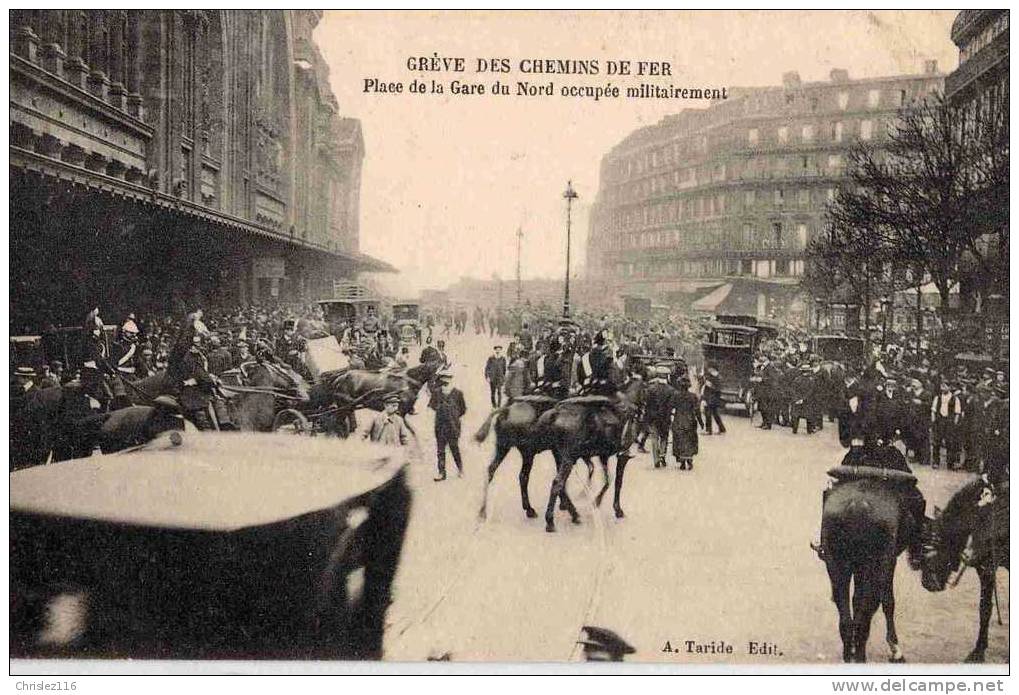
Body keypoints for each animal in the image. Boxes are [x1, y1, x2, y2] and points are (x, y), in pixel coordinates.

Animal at [538, 379, 639, 529]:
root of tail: (555, 413)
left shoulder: (603, 456)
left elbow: (607, 479)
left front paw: (597, 500)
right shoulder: (623, 456)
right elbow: (617, 482)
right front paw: (617, 509)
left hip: (559, 456)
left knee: (562, 485)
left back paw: (573, 513)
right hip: (568, 458)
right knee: (558, 482)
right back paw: (551, 521)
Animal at [819, 464, 925, 660]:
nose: (916, 558)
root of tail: (858, 504)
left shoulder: (858, 567)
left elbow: (856, 600)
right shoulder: (890, 562)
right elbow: (888, 601)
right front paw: (894, 646)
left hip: (837, 564)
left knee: (846, 615)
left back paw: (850, 651)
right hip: (878, 565)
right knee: (869, 609)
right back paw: (861, 653)